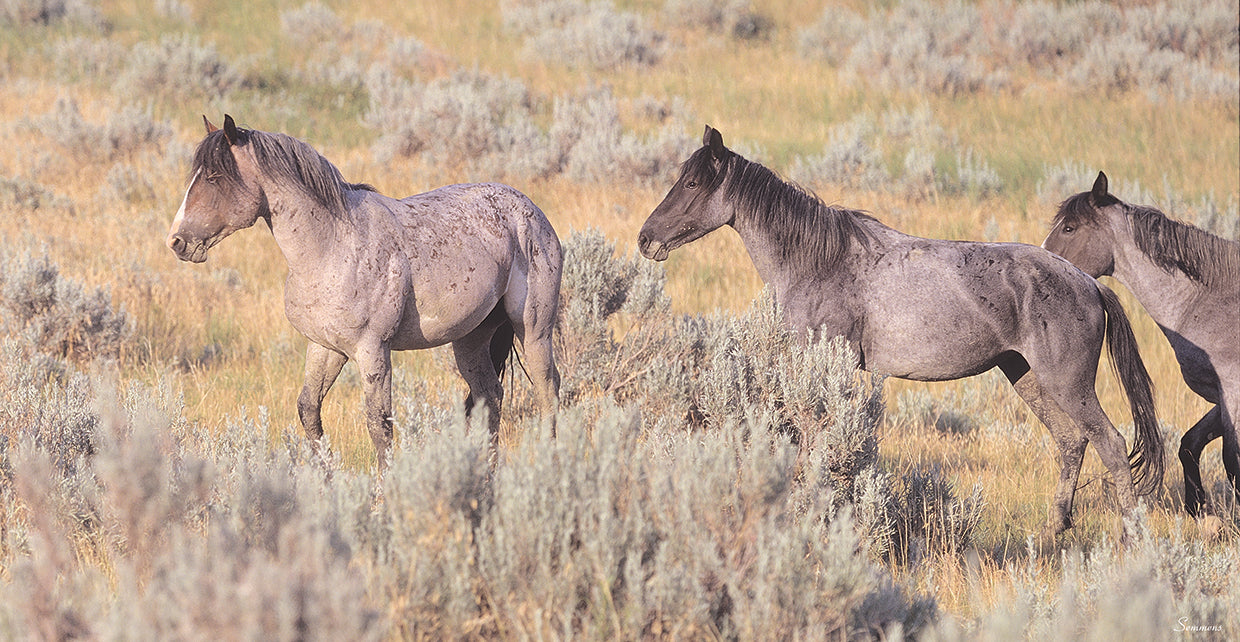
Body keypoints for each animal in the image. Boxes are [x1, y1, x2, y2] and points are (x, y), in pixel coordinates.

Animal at [166, 115, 562, 468]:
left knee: (547, 388)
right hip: (470, 339)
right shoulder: (324, 347)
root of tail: (532, 210)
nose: (177, 242)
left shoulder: (372, 352)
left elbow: (378, 424)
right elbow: (309, 410)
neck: (331, 247)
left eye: (215, 177)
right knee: (489, 396)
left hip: (534, 331)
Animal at [637, 126, 1163, 538]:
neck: (820, 262)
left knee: (1112, 444)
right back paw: (1056, 530)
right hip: (1027, 378)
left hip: (1069, 385)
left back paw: (1130, 535)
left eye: (692, 181)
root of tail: (1090, 284)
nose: (645, 238)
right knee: (1072, 442)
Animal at [1044, 172, 1239, 517]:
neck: (1209, 302)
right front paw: (1195, 508)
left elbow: (1231, 462)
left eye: (1069, 227)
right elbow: (1190, 444)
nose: (1040, 258)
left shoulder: (1232, 393)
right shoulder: (1220, 398)